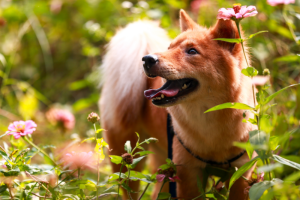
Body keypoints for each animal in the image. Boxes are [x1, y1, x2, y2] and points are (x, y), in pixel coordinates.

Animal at [100, 10, 255, 199]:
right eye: (169, 48)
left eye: (192, 51)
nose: (147, 59)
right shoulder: (187, 175)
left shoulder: (241, 174)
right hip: (126, 163)